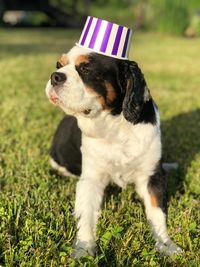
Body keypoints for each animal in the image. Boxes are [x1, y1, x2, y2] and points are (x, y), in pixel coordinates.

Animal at [45, 45, 183, 258]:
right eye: (59, 64)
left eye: (86, 69)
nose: (55, 76)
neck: (114, 126)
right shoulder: (91, 179)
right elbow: (85, 214)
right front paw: (84, 249)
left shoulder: (152, 176)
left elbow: (157, 212)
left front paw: (166, 245)